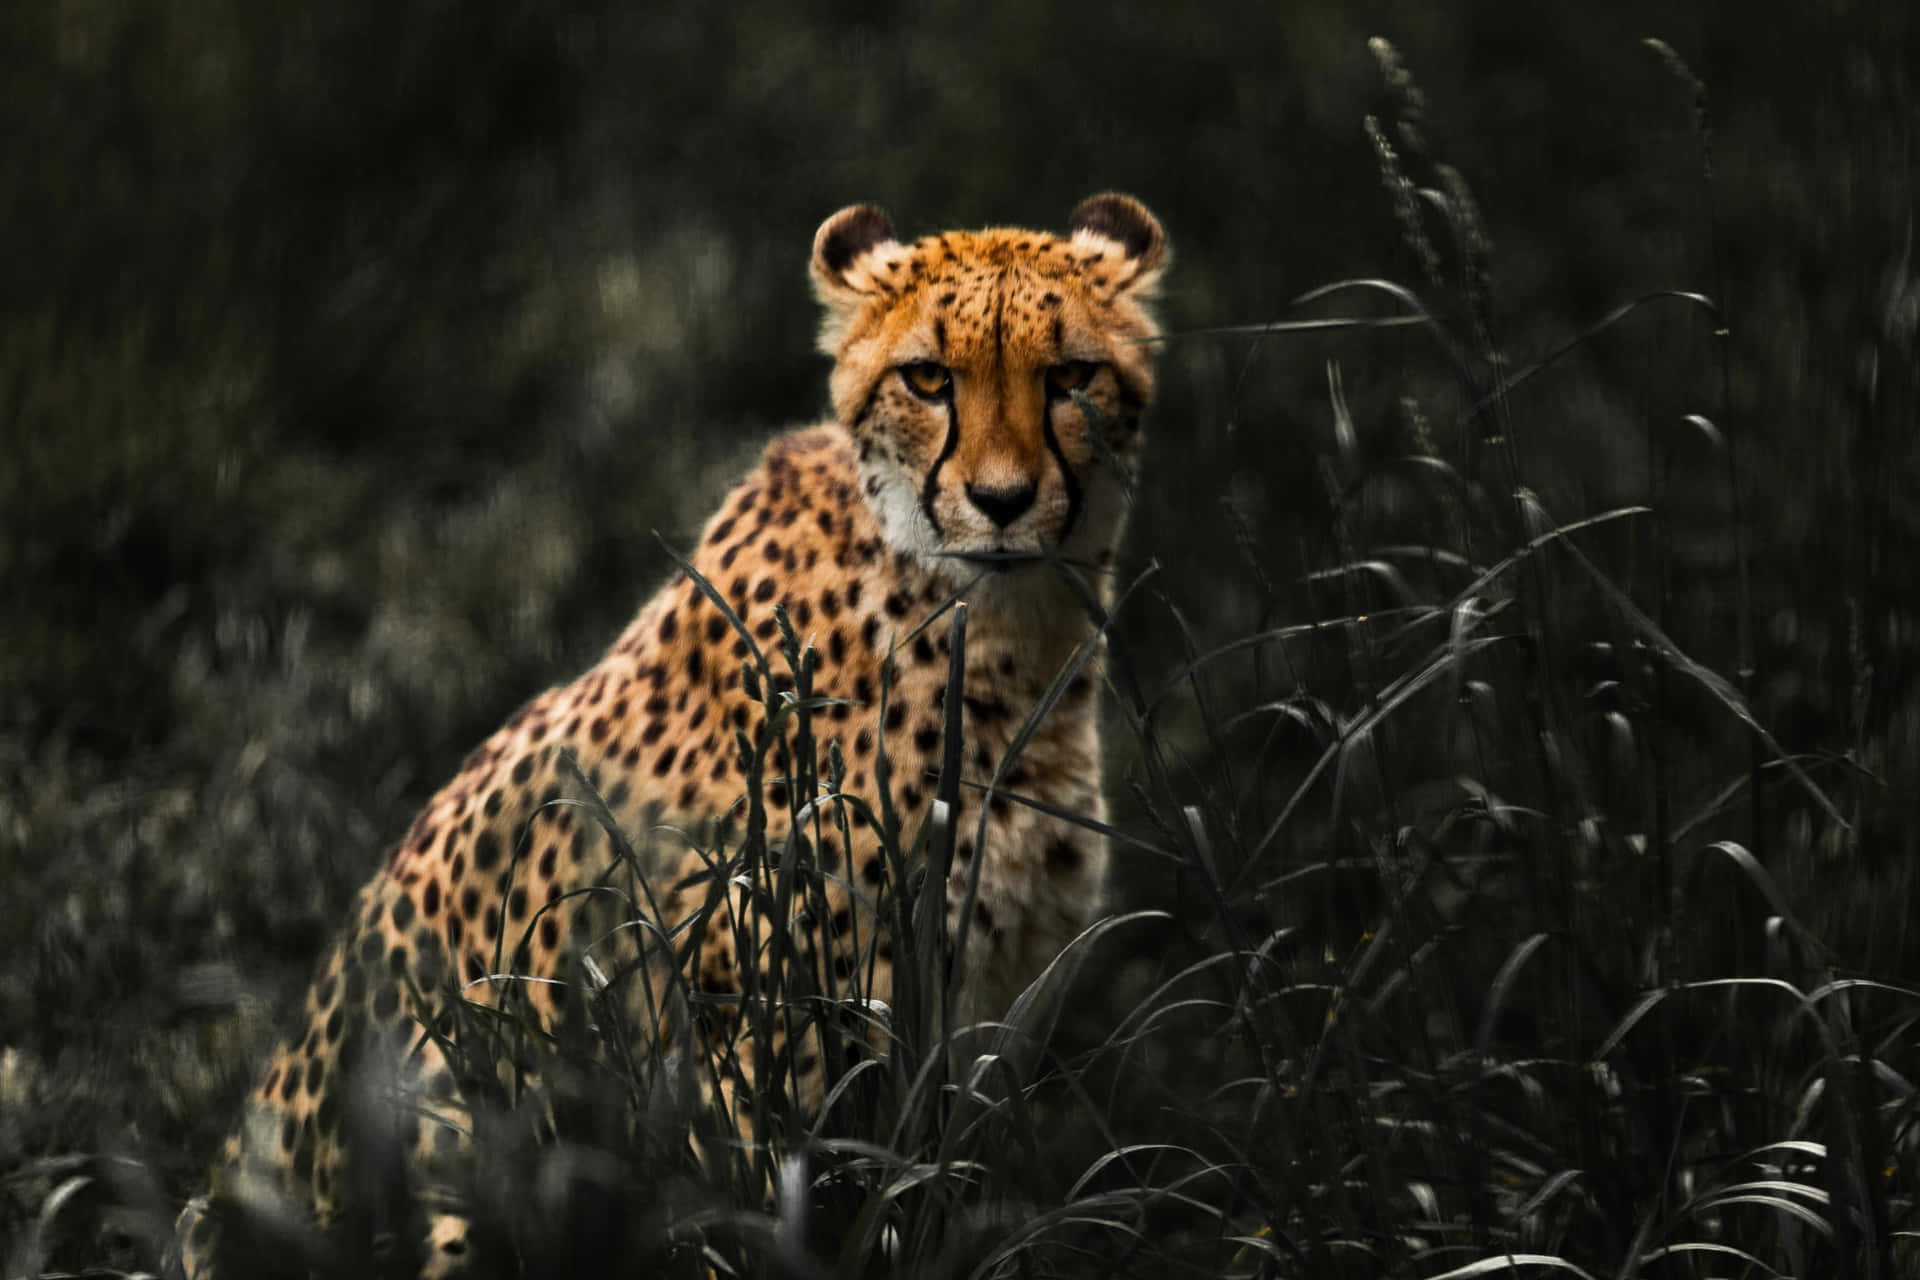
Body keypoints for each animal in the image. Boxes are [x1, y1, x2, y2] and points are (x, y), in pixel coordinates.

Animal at [176, 195, 1167, 1274]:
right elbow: (792, 1209)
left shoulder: (987, 1012)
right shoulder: (761, 1030)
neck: (1001, 631)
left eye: (1069, 376)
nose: (1001, 501)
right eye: (929, 378)